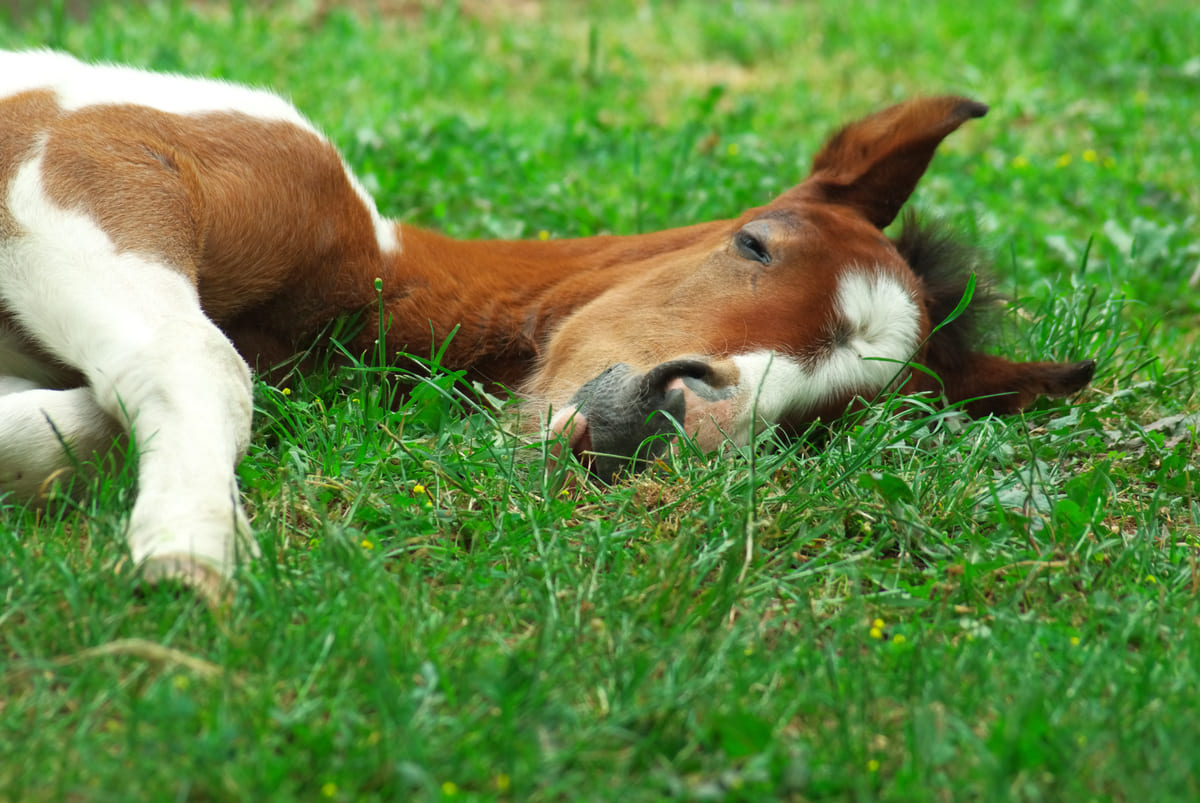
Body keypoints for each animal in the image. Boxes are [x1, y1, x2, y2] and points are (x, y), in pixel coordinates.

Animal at [0, 48, 1094, 588]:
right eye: (755, 243)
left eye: (829, 416)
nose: (662, 416)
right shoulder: (86, 159)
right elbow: (202, 360)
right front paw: (190, 550)